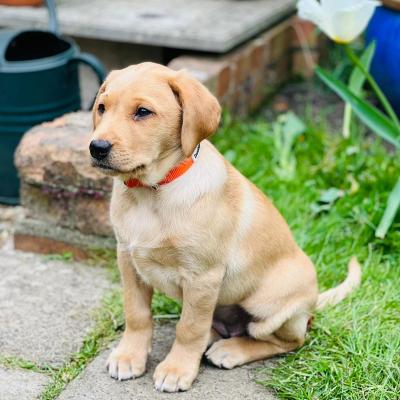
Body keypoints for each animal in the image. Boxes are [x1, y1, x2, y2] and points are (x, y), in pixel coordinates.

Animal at [90, 61, 362, 390]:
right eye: (102, 108)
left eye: (143, 112)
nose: (96, 147)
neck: (151, 191)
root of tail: (311, 304)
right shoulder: (128, 260)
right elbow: (137, 313)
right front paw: (130, 356)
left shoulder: (202, 277)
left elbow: (189, 328)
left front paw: (177, 369)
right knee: (215, 324)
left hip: (268, 305)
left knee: (287, 340)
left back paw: (231, 350)